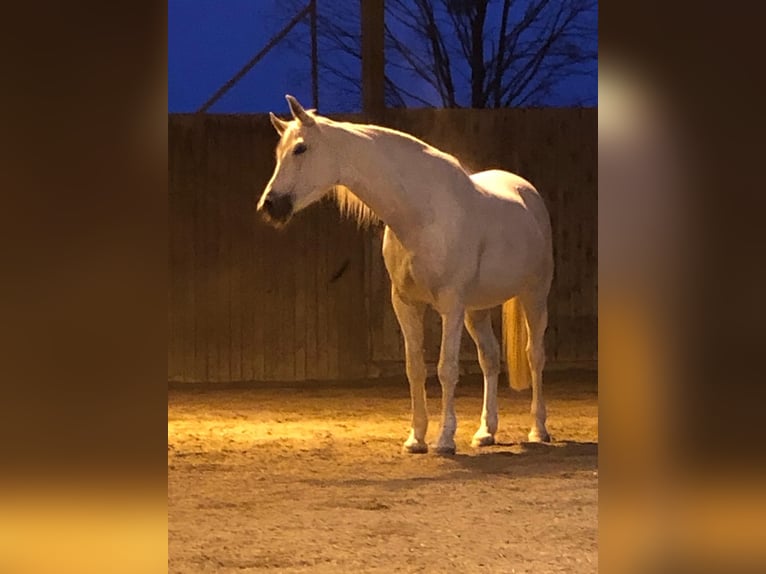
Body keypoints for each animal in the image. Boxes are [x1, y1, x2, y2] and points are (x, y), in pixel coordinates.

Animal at [260, 95, 556, 454]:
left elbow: (446, 368)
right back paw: (486, 432)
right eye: (279, 152)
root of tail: (527, 192)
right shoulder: (405, 303)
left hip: (533, 296)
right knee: (490, 357)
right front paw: (416, 438)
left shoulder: (450, 306)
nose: (271, 206)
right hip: (478, 310)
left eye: (301, 148)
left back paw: (538, 429)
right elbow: (415, 369)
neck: (421, 214)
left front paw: (444, 439)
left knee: (535, 356)